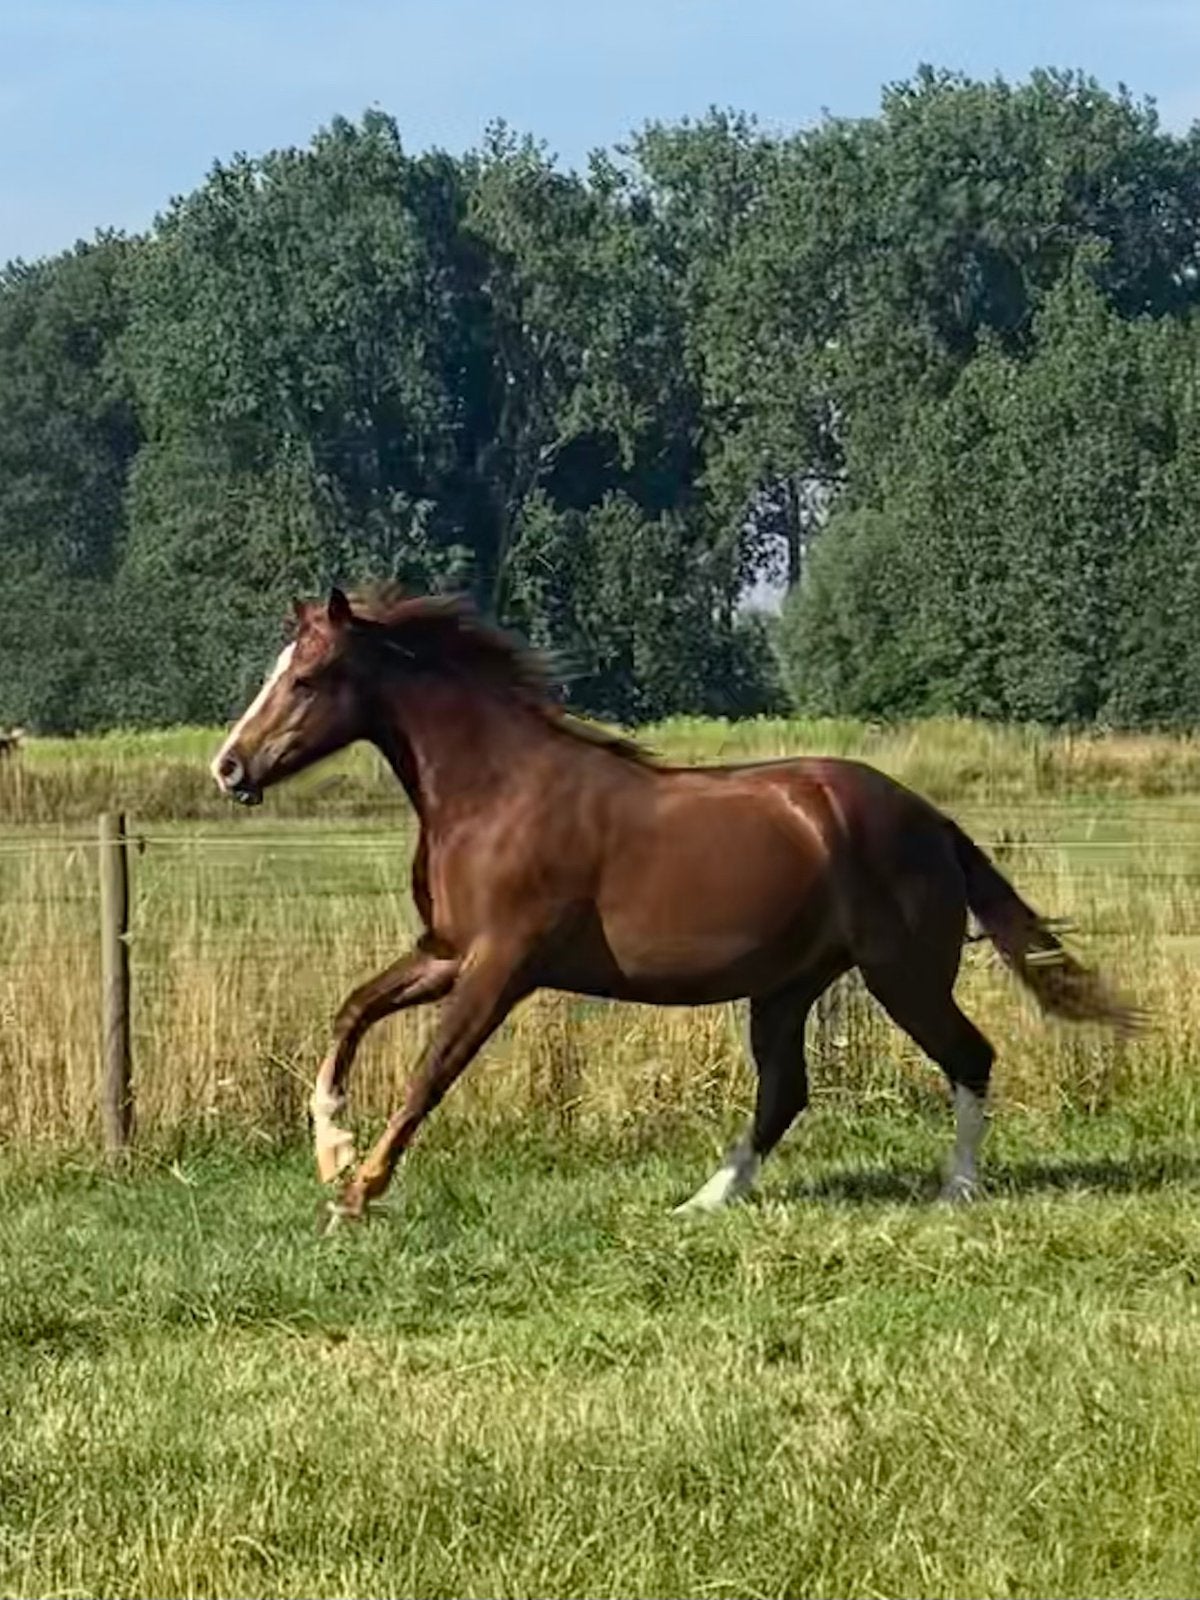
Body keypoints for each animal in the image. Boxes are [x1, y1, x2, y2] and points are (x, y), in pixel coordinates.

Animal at [211, 586, 1140, 1227]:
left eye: (307, 677)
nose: (229, 767)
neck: (495, 795)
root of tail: (931, 819)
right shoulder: (445, 952)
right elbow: (352, 1012)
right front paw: (330, 1151)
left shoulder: (501, 966)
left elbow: (430, 1071)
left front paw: (357, 1193)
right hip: (787, 987)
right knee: (785, 1091)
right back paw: (704, 1201)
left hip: (901, 974)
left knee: (968, 1055)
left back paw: (958, 1190)